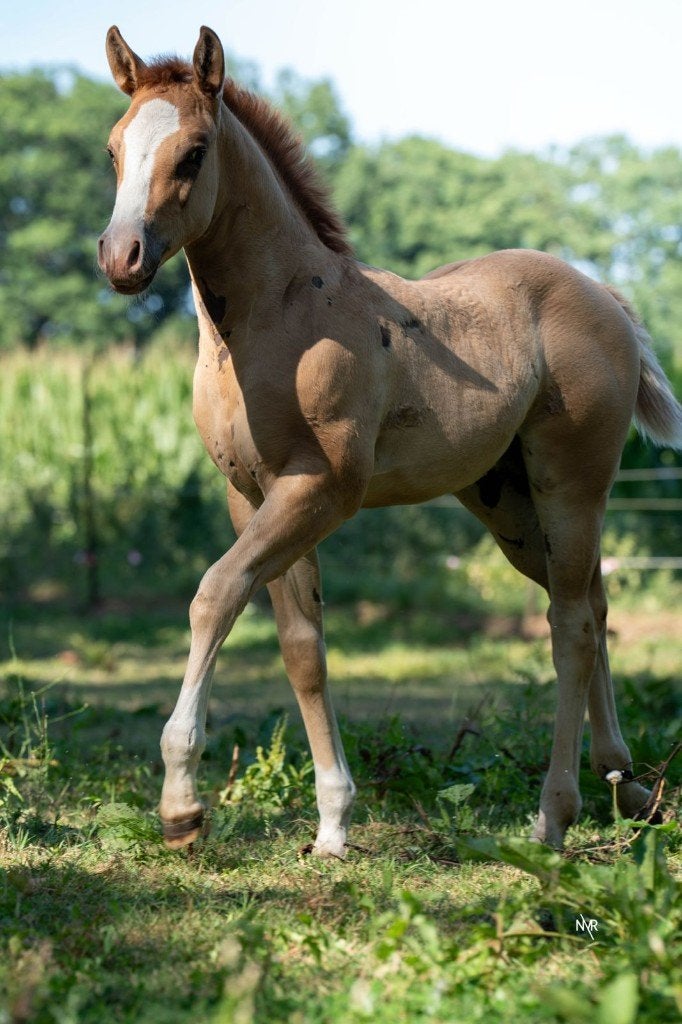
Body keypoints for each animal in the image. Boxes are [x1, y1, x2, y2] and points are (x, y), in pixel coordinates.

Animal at [98, 25, 682, 855]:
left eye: (194, 152)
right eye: (115, 149)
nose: (122, 258)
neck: (278, 320)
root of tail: (604, 295)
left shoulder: (322, 488)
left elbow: (214, 594)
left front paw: (181, 802)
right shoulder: (253, 495)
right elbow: (301, 647)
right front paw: (333, 822)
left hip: (572, 485)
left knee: (570, 625)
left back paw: (554, 814)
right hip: (508, 505)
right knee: (592, 604)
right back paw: (625, 783)